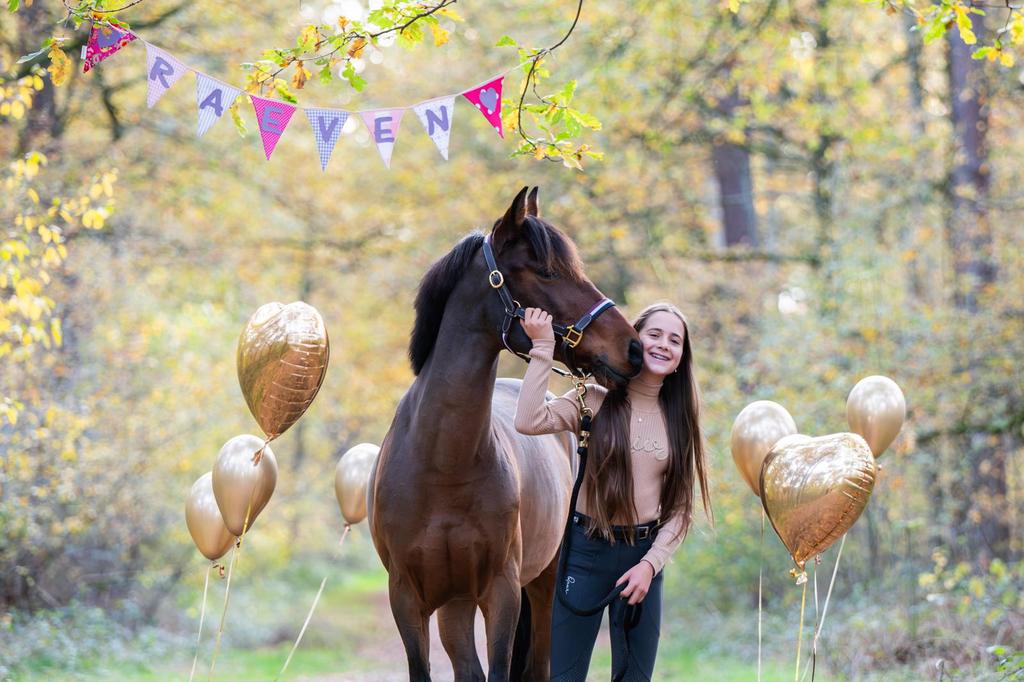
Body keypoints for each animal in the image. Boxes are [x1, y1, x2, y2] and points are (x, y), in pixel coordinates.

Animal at [368, 187, 643, 681]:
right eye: (547, 271)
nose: (633, 348)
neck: (443, 463)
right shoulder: (407, 599)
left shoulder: (503, 592)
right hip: (455, 605)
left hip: (545, 586)